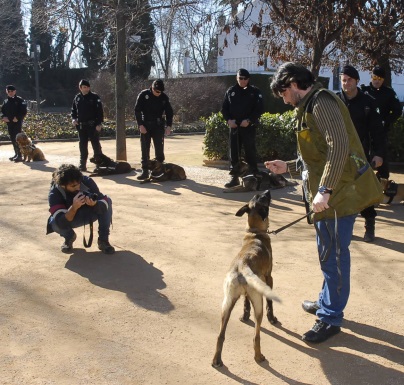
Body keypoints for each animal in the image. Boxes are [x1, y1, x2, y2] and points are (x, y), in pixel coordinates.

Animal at [211, 190, 280, 368]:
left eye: (258, 196)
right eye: (263, 197)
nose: (268, 191)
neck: (254, 233)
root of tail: (242, 265)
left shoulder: (246, 294)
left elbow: (245, 302)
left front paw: (244, 315)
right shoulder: (269, 278)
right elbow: (270, 303)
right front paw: (272, 318)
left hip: (226, 305)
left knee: (220, 335)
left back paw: (217, 360)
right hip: (258, 304)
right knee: (256, 335)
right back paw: (259, 356)